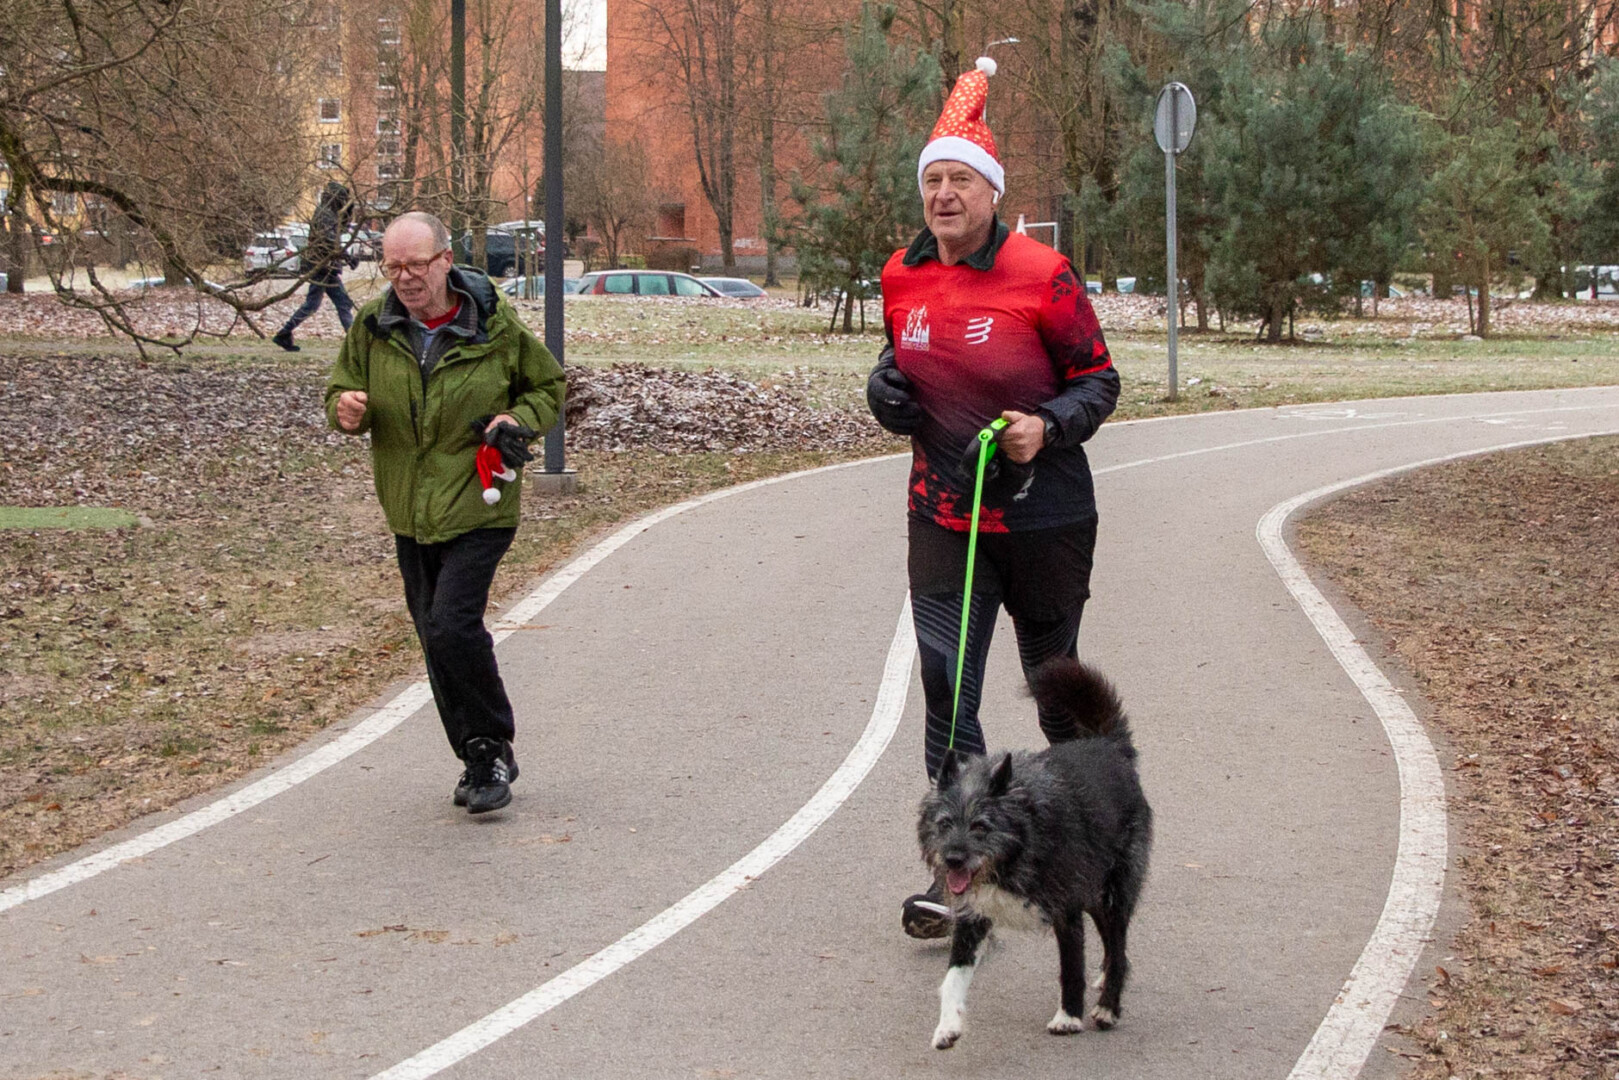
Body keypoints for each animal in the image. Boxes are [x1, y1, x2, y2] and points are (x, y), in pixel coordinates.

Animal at [915, 659, 1152, 1050]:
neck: (1017, 847)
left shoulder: (1066, 912)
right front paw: (947, 1027)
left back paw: (1107, 1006)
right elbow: (953, 978)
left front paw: (1068, 1017)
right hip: (1095, 895)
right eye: (945, 822)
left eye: (981, 826)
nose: (952, 860)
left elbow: (1071, 969)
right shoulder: (972, 916)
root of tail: (1110, 746)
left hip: (1113, 892)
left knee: (1118, 948)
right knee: (1111, 946)